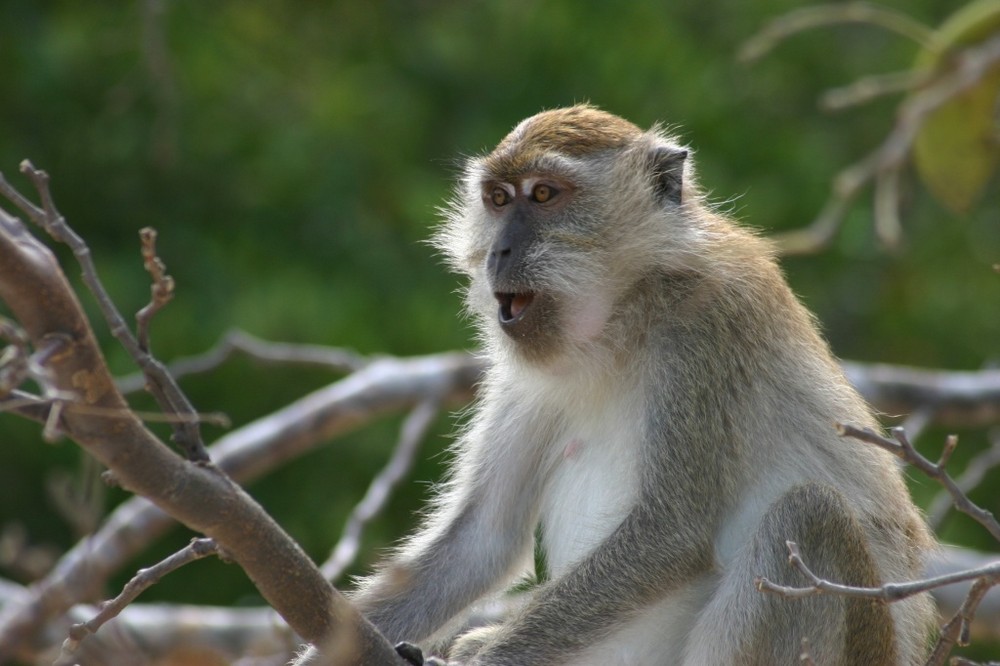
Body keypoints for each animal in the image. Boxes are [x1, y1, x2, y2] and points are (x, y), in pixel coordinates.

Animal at [292, 105, 932, 664]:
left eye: (544, 195)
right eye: (498, 199)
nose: (499, 249)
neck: (621, 318)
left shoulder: (704, 326)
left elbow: (669, 531)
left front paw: (482, 659)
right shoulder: (525, 374)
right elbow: (480, 541)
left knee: (806, 514)